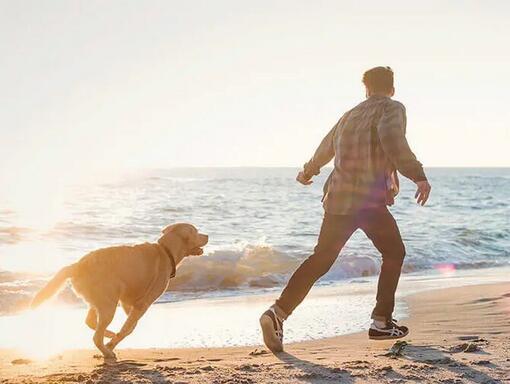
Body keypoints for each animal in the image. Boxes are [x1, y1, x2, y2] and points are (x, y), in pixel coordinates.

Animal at [29, 222, 208, 356]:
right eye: (196, 232)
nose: (207, 236)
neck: (166, 250)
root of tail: (77, 266)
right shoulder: (142, 303)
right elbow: (129, 327)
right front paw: (113, 343)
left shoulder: (128, 302)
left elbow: (130, 326)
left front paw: (114, 339)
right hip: (108, 304)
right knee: (96, 336)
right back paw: (107, 351)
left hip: (101, 301)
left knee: (90, 322)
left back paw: (108, 335)